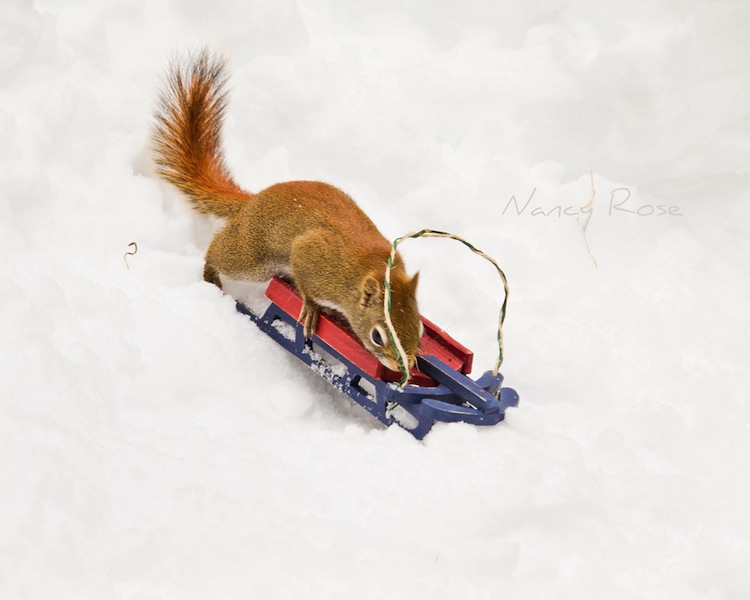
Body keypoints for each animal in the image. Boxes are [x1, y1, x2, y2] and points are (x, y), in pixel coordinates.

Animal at [153, 50, 424, 370]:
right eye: (377, 336)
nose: (402, 368)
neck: (371, 268)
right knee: (219, 252)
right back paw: (212, 276)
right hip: (252, 258)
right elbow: (306, 282)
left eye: (419, 329)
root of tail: (254, 199)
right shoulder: (313, 257)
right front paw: (311, 308)